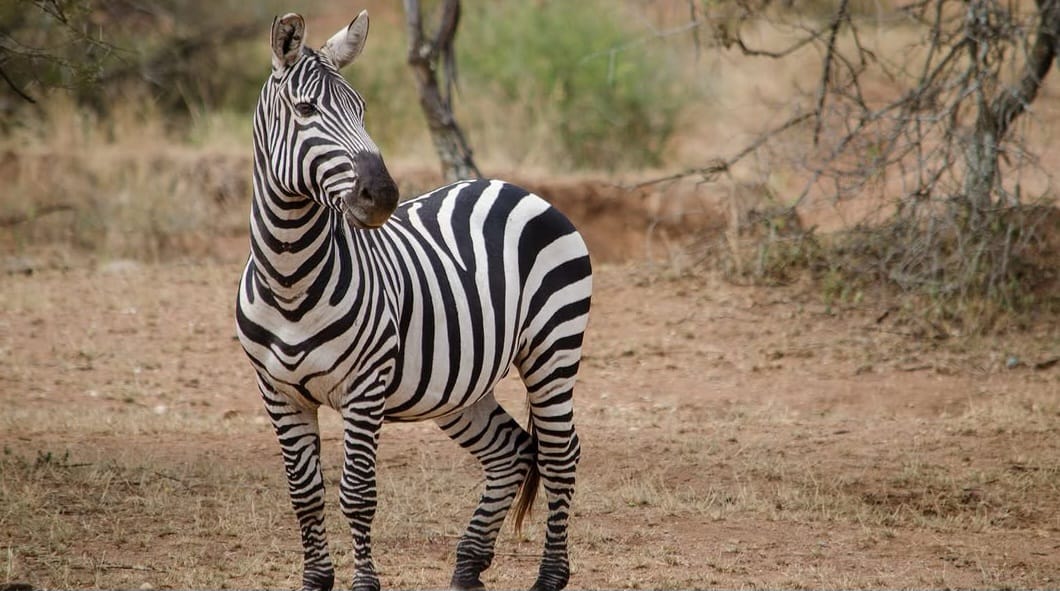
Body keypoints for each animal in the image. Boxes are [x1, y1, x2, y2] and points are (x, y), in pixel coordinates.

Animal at [235, 10, 592, 591]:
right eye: (306, 110)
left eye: (360, 108)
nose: (382, 195)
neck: (289, 278)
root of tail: (513, 187)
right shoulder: (278, 393)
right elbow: (304, 497)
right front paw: (316, 580)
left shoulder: (364, 388)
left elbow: (357, 495)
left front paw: (364, 584)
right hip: (460, 383)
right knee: (511, 451)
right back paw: (467, 565)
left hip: (553, 347)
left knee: (560, 454)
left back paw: (549, 576)